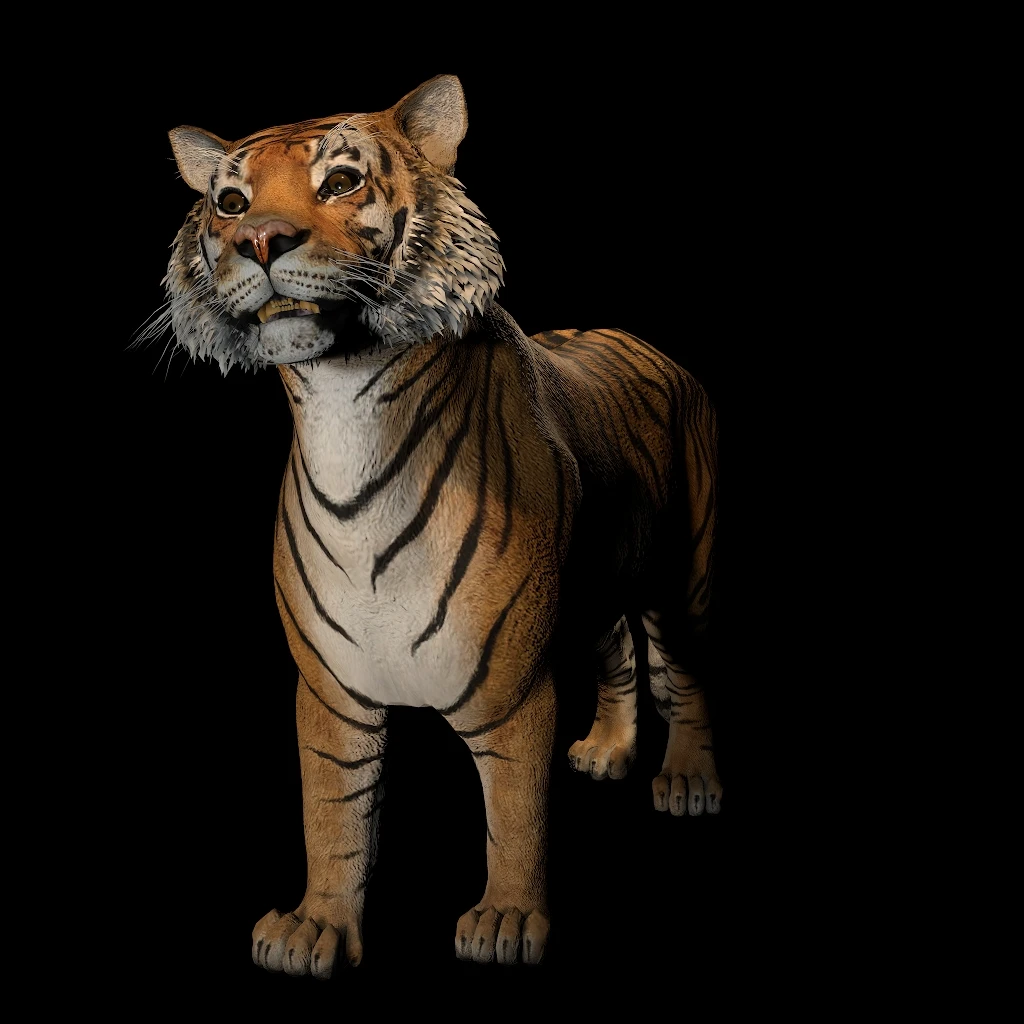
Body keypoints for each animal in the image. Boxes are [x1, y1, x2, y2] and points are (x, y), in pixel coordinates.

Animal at [154, 73, 723, 974]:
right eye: (230, 201)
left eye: (340, 181)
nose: (259, 240)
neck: (342, 406)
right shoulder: (329, 689)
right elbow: (333, 815)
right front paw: (315, 927)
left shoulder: (515, 690)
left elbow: (517, 816)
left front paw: (507, 922)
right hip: (596, 583)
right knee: (620, 650)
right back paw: (607, 750)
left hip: (685, 572)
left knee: (686, 667)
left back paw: (691, 781)